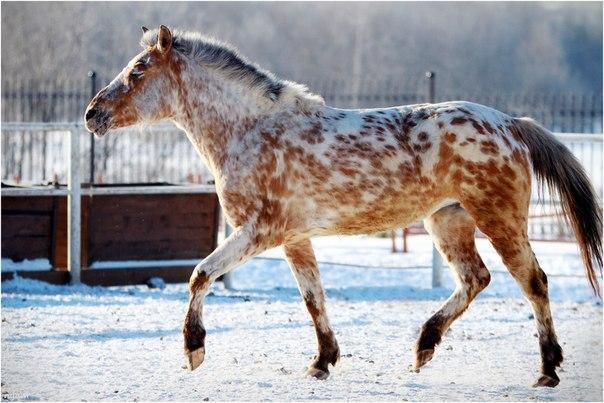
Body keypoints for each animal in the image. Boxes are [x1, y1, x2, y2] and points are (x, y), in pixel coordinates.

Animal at [86, 25, 604, 388]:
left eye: (137, 71)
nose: (93, 114)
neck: (249, 131)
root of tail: (511, 124)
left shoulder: (259, 231)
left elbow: (200, 274)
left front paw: (194, 349)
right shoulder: (294, 238)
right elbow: (313, 298)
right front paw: (322, 361)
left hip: (499, 219)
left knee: (534, 282)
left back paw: (547, 370)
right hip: (447, 221)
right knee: (476, 279)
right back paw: (423, 347)